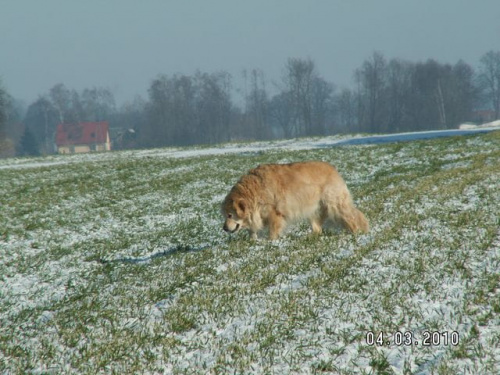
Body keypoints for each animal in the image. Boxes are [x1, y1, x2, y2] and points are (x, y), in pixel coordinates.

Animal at [221, 160, 370, 239]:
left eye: (230, 215)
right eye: (225, 215)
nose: (224, 228)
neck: (254, 191)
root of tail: (332, 168)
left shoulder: (274, 214)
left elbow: (272, 232)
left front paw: (271, 242)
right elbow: (252, 231)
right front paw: (253, 242)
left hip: (335, 205)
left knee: (352, 217)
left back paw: (357, 232)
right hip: (314, 210)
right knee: (317, 227)